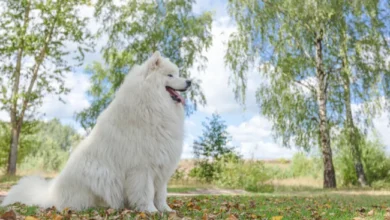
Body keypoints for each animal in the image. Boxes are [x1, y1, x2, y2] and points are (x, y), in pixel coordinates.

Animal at [1, 51, 192, 213]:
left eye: (177, 74)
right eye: (170, 75)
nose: (189, 81)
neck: (152, 104)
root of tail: (51, 195)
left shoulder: (161, 166)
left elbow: (160, 194)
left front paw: (166, 210)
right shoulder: (141, 168)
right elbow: (146, 192)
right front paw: (150, 211)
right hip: (97, 174)